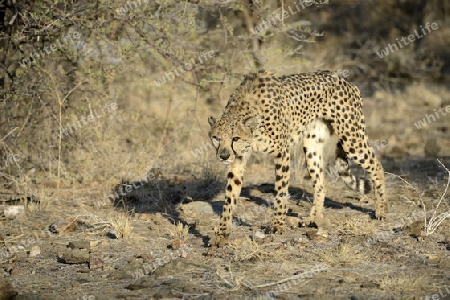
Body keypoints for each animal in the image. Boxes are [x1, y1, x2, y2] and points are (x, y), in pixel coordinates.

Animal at [208, 69, 386, 246]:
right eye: (216, 138)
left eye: (235, 138)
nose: (223, 156)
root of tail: (345, 80)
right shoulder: (238, 159)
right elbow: (230, 197)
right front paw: (222, 234)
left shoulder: (281, 152)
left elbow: (280, 191)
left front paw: (278, 225)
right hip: (311, 145)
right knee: (321, 183)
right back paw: (313, 219)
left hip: (351, 140)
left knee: (377, 166)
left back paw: (382, 209)